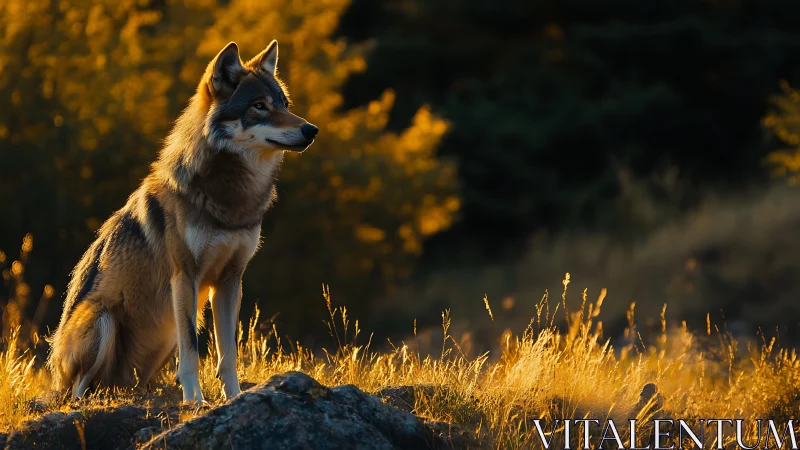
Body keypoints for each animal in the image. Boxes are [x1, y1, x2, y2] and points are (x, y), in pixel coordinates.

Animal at [46, 40, 317, 404]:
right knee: (77, 389)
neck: (231, 199)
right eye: (259, 106)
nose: (311, 130)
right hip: (103, 321)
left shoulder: (230, 280)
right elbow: (192, 352)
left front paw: (233, 397)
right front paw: (196, 401)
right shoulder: (184, 277)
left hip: (161, 338)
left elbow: (227, 354)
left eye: (285, 105)